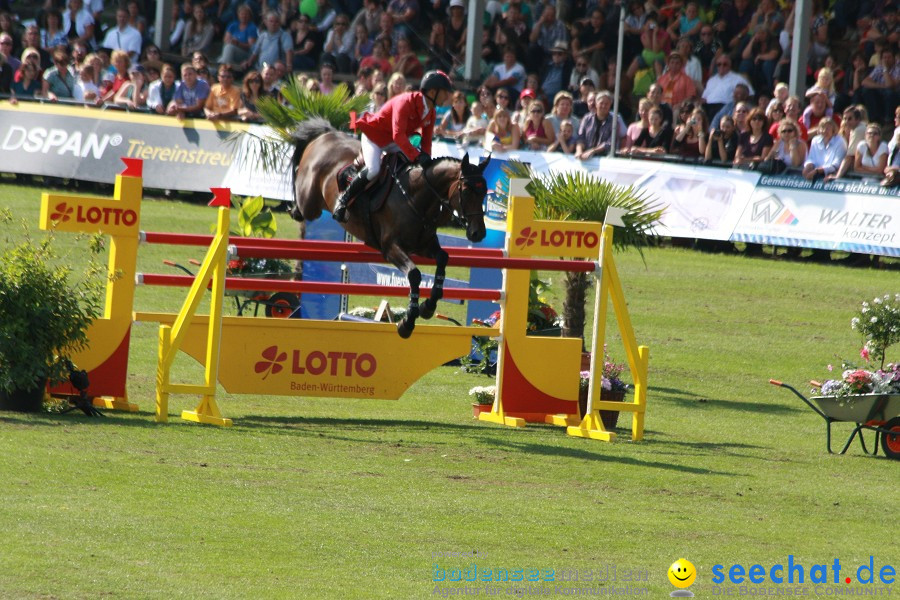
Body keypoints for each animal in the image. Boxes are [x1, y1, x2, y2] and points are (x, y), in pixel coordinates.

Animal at [288, 117, 488, 338]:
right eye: (467, 190)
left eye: (485, 192)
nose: (478, 233)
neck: (416, 196)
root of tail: (327, 134)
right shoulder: (390, 248)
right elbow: (414, 275)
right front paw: (407, 322)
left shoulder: (424, 245)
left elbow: (443, 259)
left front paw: (428, 307)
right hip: (310, 203)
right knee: (301, 204)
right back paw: (299, 208)